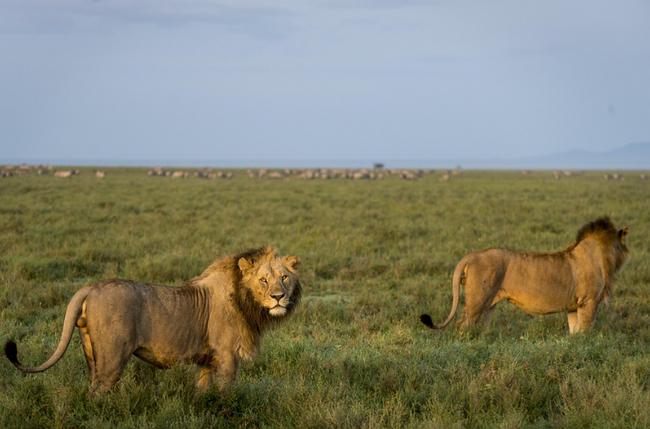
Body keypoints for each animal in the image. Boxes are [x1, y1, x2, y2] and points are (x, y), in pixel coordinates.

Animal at [5, 246, 302, 393]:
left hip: (90, 351)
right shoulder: (227, 357)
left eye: (284, 277)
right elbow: (226, 394)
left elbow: (203, 392)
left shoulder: (208, 361)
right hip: (112, 357)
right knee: (98, 391)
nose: (278, 297)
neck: (248, 303)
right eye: (263, 280)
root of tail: (89, 287)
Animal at [420, 217, 629, 334]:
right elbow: (585, 331)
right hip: (476, 301)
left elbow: (574, 331)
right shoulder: (589, 302)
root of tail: (471, 255)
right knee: (463, 326)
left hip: (488, 305)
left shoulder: (572, 306)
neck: (602, 254)